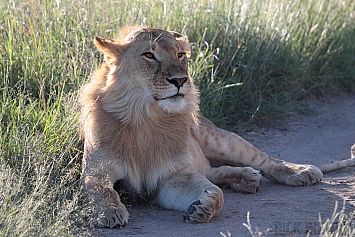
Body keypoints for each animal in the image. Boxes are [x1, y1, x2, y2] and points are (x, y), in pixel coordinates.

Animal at [80, 25, 355, 228]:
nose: (180, 80)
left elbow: (216, 194)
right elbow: (100, 189)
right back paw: (246, 178)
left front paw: (204, 207)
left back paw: (299, 171)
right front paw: (109, 212)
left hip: (219, 138)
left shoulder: (174, 175)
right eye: (149, 55)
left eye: (180, 55)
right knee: (214, 171)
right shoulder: (97, 170)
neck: (146, 116)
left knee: (265, 161)